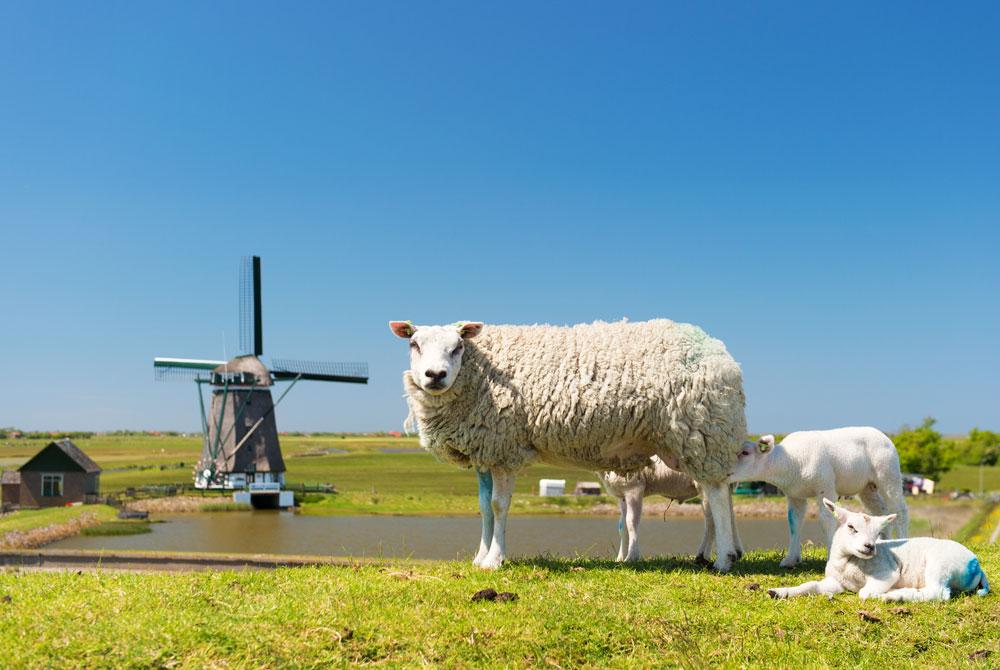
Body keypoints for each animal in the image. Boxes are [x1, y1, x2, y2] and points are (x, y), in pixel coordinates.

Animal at [394, 320, 748, 572]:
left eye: (457, 347)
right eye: (414, 344)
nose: (435, 375)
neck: (479, 373)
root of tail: (720, 351)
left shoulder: (505, 448)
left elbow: (499, 506)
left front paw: (495, 560)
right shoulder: (486, 451)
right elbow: (483, 507)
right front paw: (480, 558)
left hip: (701, 430)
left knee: (716, 495)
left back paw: (723, 560)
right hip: (695, 438)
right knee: (720, 491)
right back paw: (731, 552)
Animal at [728, 426, 908, 568]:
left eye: (745, 452)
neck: (788, 461)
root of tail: (881, 434)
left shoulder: (825, 488)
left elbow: (826, 521)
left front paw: (830, 557)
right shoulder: (795, 495)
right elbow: (794, 523)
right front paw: (790, 559)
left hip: (888, 473)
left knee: (900, 511)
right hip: (867, 487)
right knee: (880, 510)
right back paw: (884, 543)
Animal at [768, 498, 988, 604]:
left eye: (877, 534)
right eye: (851, 527)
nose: (870, 547)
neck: (847, 564)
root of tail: (976, 565)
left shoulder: (887, 573)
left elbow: (864, 593)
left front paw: (885, 593)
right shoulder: (836, 582)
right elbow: (811, 585)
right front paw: (779, 592)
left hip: (940, 564)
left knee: (939, 592)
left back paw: (895, 596)